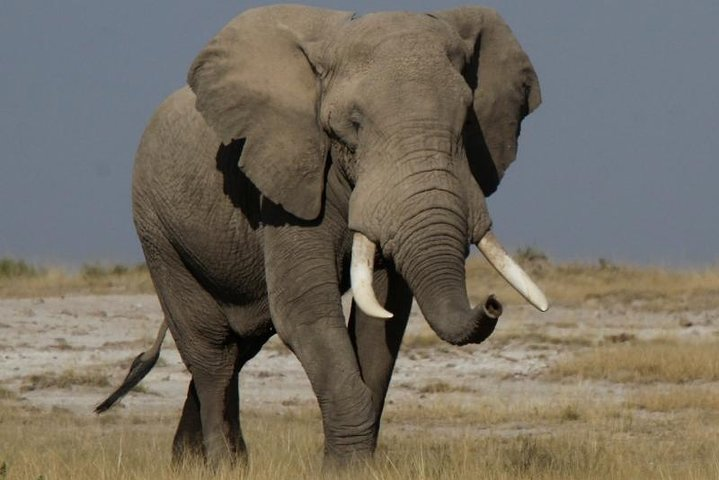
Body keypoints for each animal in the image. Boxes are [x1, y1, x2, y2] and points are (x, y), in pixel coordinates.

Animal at [96, 4, 548, 468]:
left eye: (466, 120)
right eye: (354, 125)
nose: (492, 302)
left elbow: (380, 319)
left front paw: (358, 467)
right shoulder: (285, 180)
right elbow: (306, 312)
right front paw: (345, 467)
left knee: (242, 345)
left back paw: (198, 461)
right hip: (157, 231)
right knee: (212, 352)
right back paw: (220, 465)